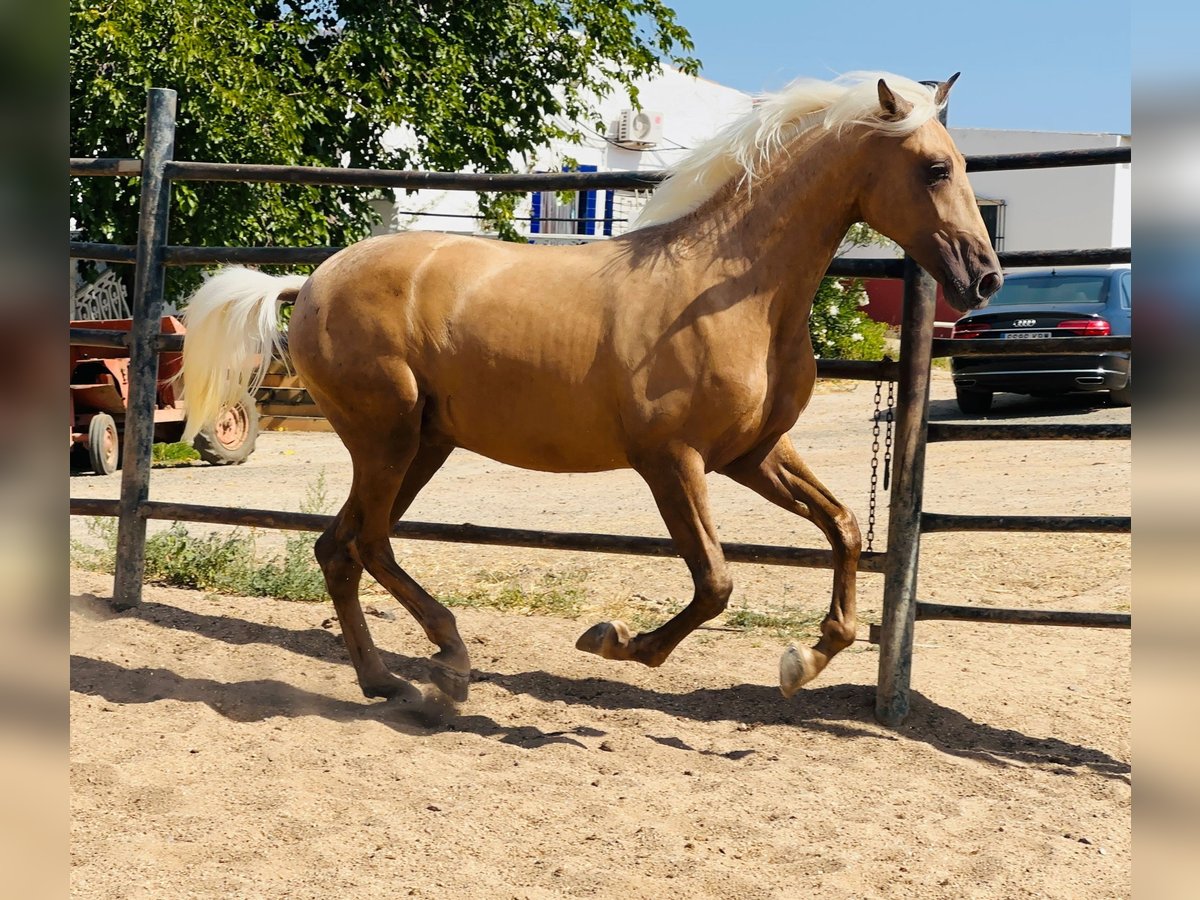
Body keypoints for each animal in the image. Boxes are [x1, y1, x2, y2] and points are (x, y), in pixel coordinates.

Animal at [180, 72, 1003, 705]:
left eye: (961, 164)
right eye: (934, 168)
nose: (985, 277)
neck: (734, 293)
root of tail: (310, 282)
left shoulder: (754, 452)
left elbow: (845, 528)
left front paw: (805, 660)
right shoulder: (671, 459)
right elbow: (715, 581)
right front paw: (615, 640)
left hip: (422, 444)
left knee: (340, 548)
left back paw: (387, 680)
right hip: (388, 436)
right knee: (371, 541)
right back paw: (449, 660)